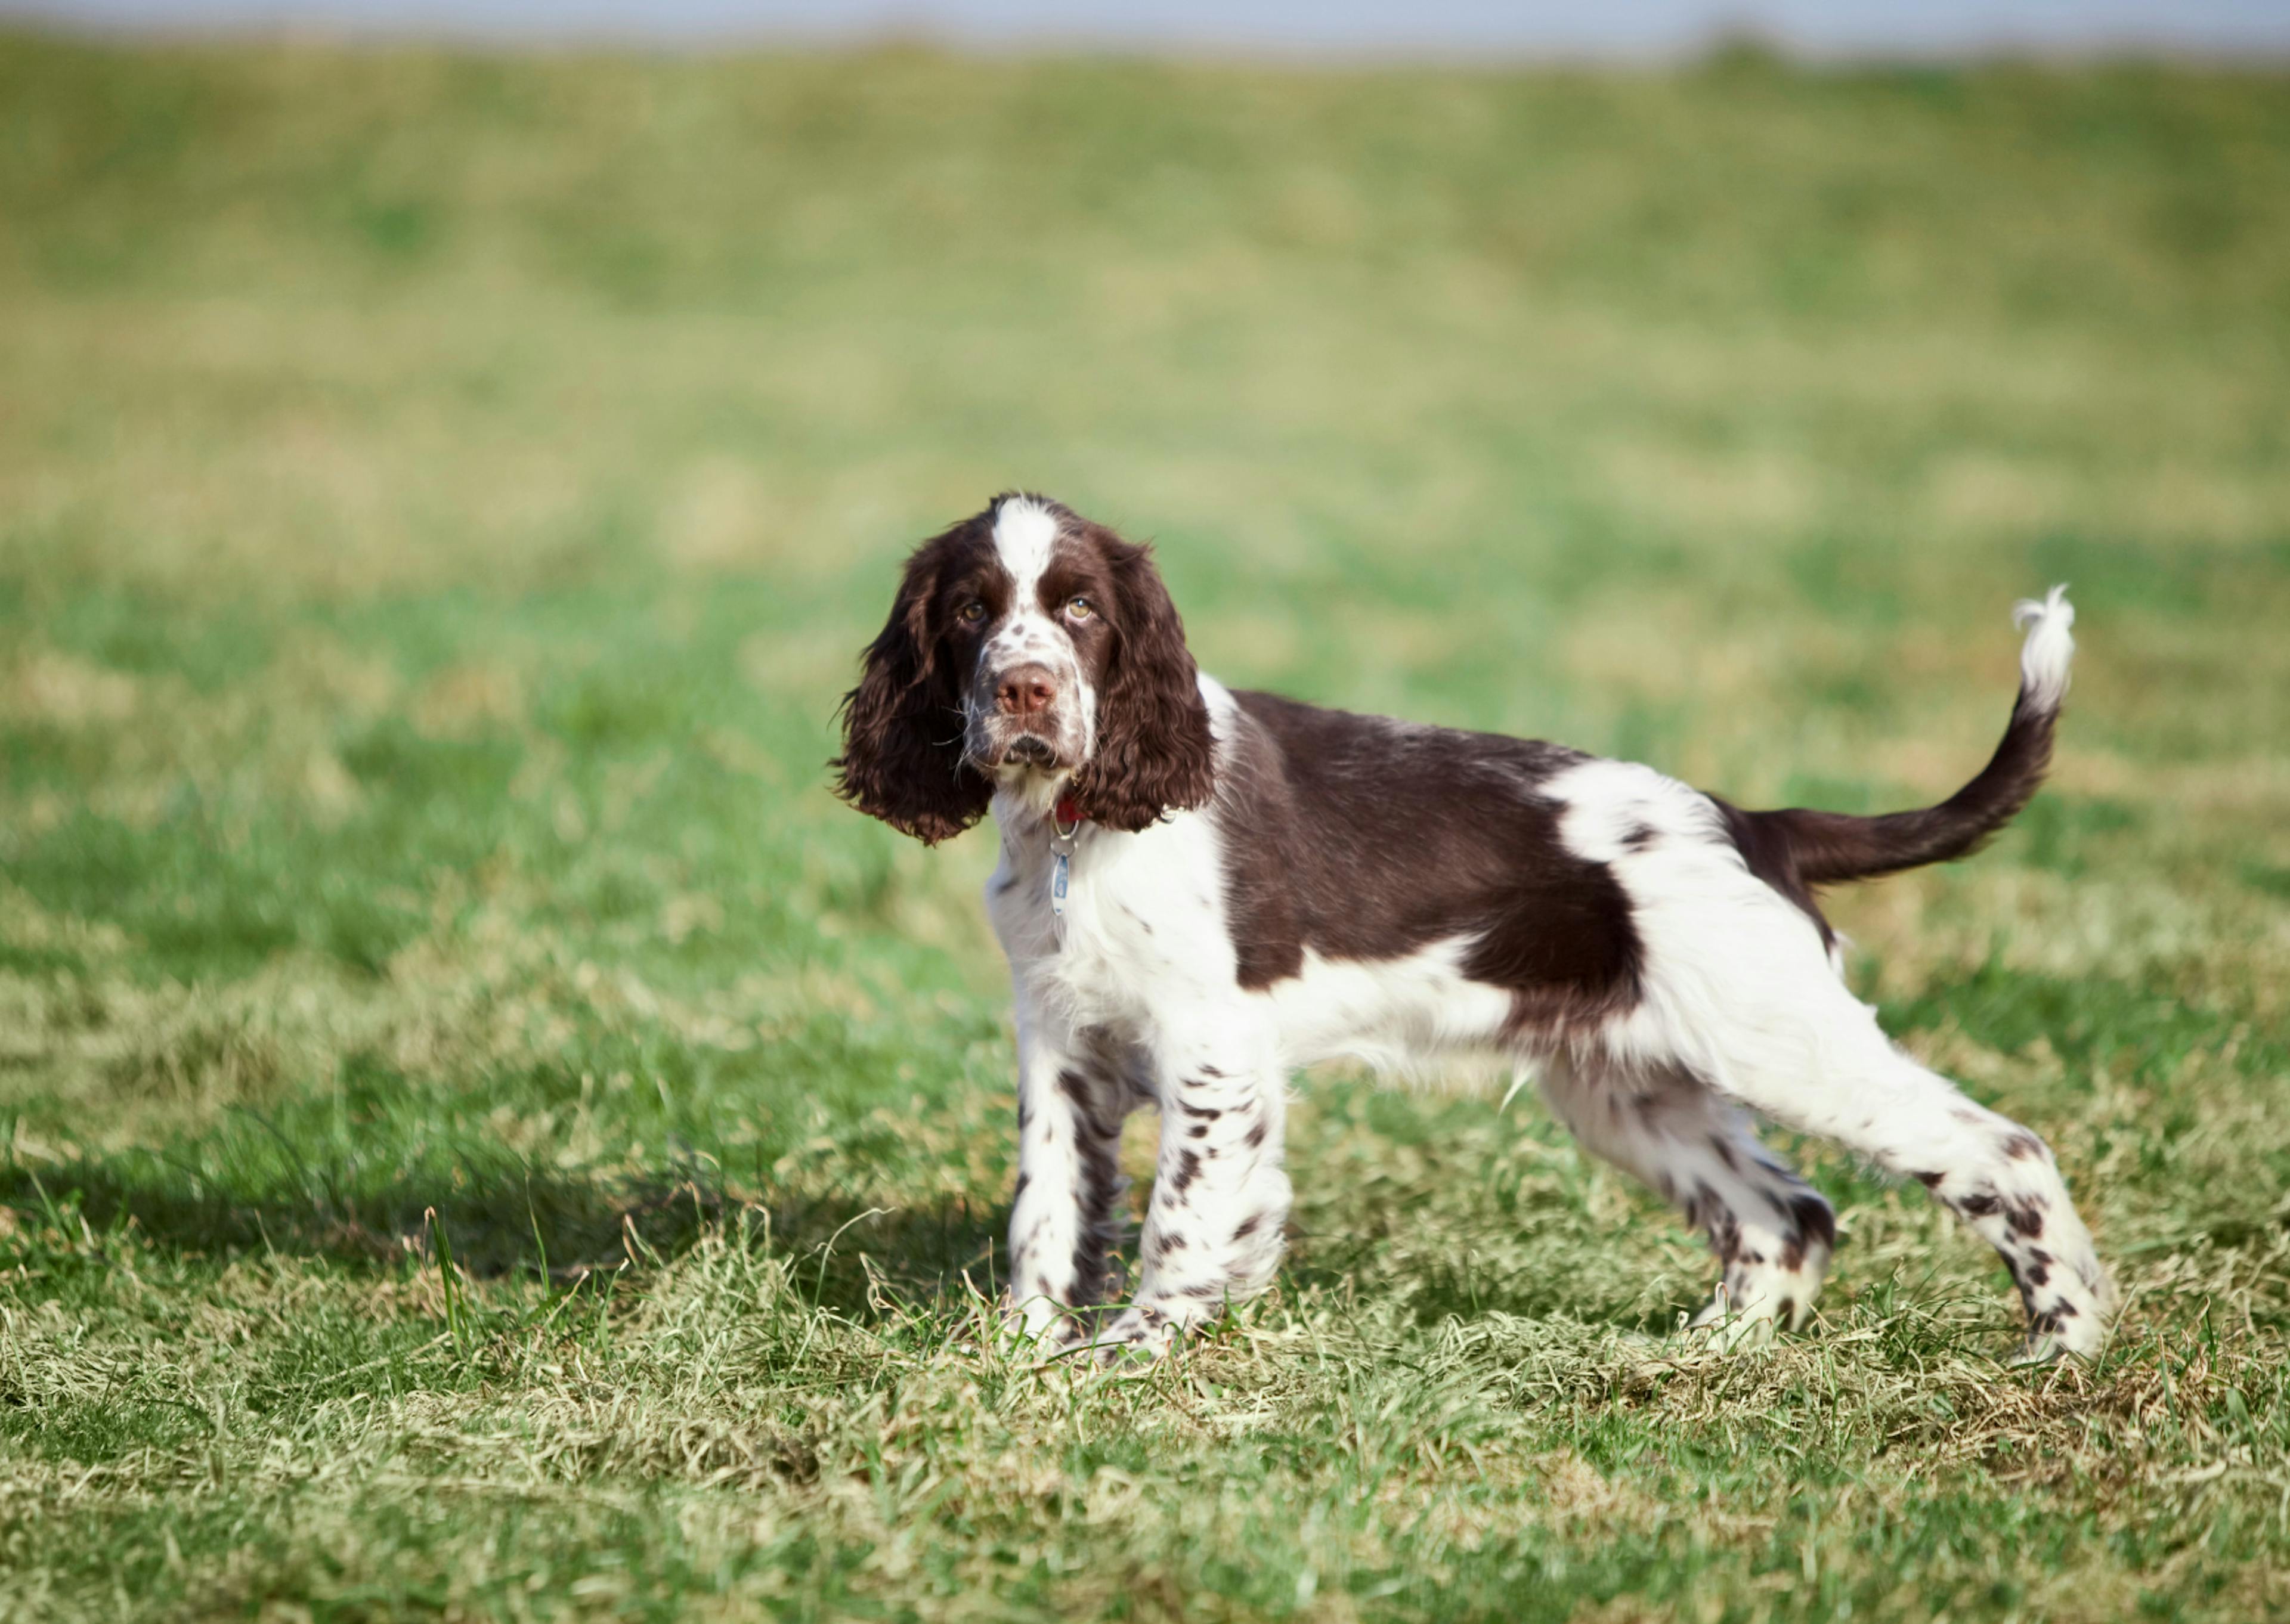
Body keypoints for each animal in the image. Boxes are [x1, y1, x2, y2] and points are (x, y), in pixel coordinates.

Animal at [833, 488, 2116, 1365]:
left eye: (1083, 607)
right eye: (970, 611)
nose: (1025, 691)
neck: (1079, 822)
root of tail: (1755, 824)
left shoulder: (1211, 1046)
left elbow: (1180, 1217)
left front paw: (1137, 1352)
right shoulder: (1062, 1039)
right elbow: (1049, 1209)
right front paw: (1020, 1351)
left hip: (1780, 1038)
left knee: (2003, 1152)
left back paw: (2066, 1342)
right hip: (1627, 1083)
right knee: (1785, 1212)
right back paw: (1709, 1353)